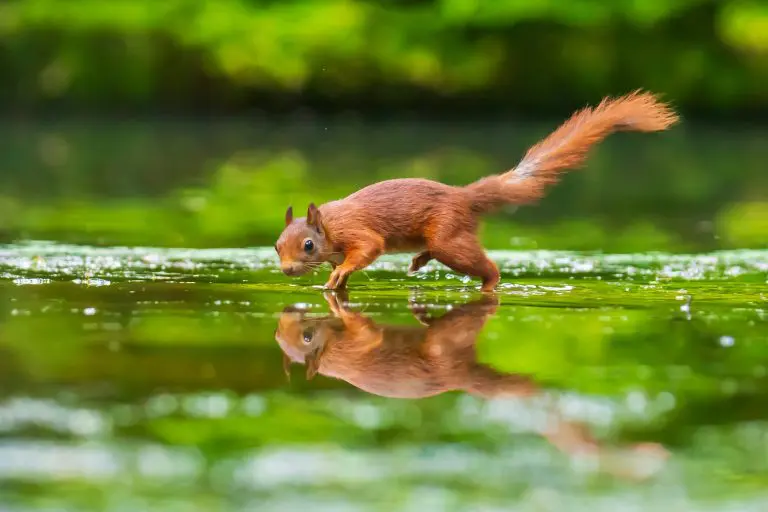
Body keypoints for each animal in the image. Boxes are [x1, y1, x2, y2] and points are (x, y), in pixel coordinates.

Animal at [274, 90, 680, 290]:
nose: (288, 270)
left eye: (308, 245)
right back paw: (419, 261)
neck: (329, 226)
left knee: (486, 268)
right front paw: (334, 282)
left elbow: (367, 249)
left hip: (449, 238)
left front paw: (341, 273)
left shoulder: (358, 233)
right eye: (277, 246)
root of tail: (463, 196)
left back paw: (489, 284)